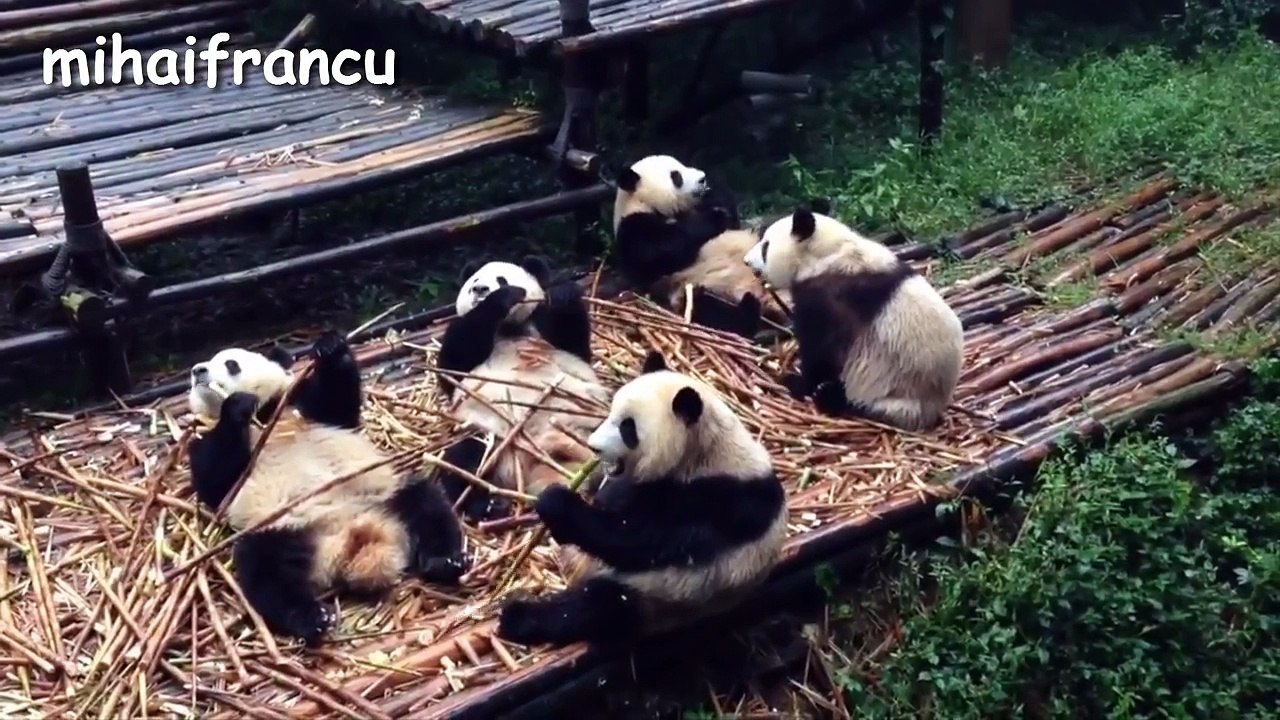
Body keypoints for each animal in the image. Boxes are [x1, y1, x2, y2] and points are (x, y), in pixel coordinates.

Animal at [185, 331, 468, 646]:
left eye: (231, 364)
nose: (198, 371)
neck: (266, 417)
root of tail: (346, 545)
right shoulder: (202, 443)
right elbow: (216, 482)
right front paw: (236, 407)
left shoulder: (299, 407)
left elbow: (338, 406)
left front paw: (330, 348)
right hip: (282, 529)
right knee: (265, 571)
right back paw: (312, 617)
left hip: (382, 494)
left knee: (425, 503)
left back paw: (444, 561)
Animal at [433, 256, 611, 522]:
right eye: (474, 281)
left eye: (501, 278)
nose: (480, 289)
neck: (507, 328)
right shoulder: (462, 336)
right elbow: (453, 365)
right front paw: (500, 299)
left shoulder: (544, 327)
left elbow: (576, 345)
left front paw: (564, 294)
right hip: (491, 437)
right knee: (464, 459)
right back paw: (488, 506)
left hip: (590, 425)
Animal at [495, 350, 787, 648]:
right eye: (611, 412)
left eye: (628, 428)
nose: (593, 447)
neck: (704, 451)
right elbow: (619, 500)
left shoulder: (722, 501)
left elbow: (641, 541)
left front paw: (557, 505)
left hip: (663, 597)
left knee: (598, 606)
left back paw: (518, 617)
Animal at [612, 154, 791, 338]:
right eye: (676, 176)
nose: (702, 178)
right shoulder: (632, 228)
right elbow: (655, 254)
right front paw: (715, 217)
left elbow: (731, 218)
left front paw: (715, 195)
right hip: (699, 289)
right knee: (712, 310)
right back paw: (750, 309)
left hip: (758, 240)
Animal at [744, 204, 964, 431]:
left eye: (765, 247)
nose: (747, 261)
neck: (826, 253)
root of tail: (932, 411)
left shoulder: (830, 295)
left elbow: (822, 349)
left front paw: (796, 382)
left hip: (890, 393)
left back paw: (828, 398)